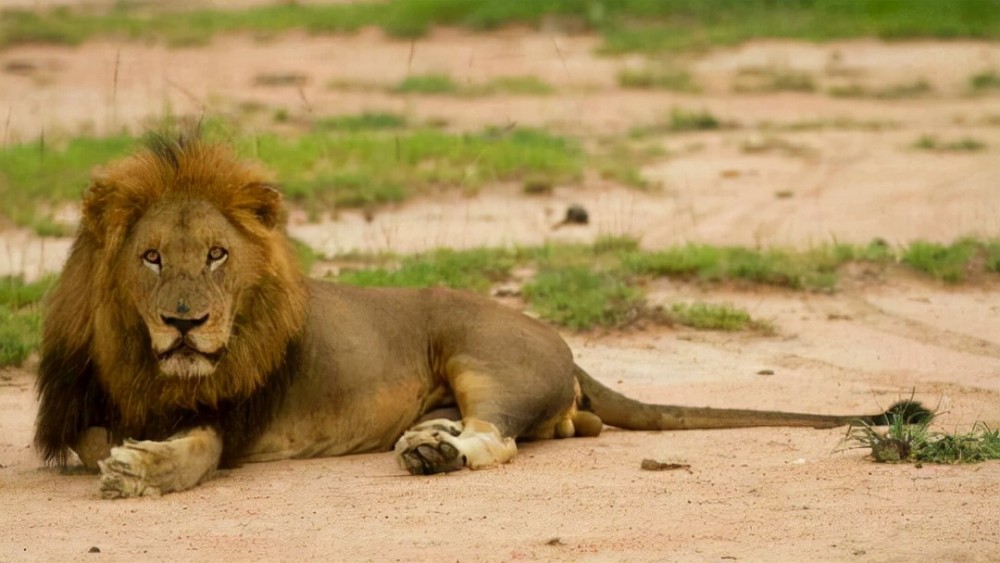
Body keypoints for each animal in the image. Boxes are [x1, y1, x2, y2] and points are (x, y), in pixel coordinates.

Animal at [33, 134, 928, 500]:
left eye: (218, 254)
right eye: (153, 258)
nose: (186, 322)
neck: (150, 362)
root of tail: (556, 336)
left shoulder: (239, 417)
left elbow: (193, 451)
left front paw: (143, 468)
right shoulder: (82, 404)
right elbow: (94, 436)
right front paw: (127, 452)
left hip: (481, 353)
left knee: (500, 434)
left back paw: (436, 452)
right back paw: (431, 440)